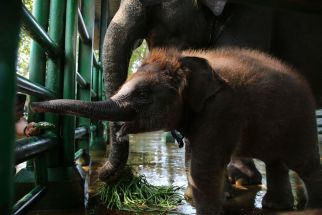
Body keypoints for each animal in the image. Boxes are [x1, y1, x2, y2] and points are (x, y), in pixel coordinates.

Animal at [32, 47, 322, 214]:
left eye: (143, 94)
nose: (33, 109)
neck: (183, 60)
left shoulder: (223, 108)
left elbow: (204, 165)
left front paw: (208, 209)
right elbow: (192, 157)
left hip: (302, 123)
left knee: (303, 163)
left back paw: (312, 206)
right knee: (276, 161)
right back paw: (276, 206)